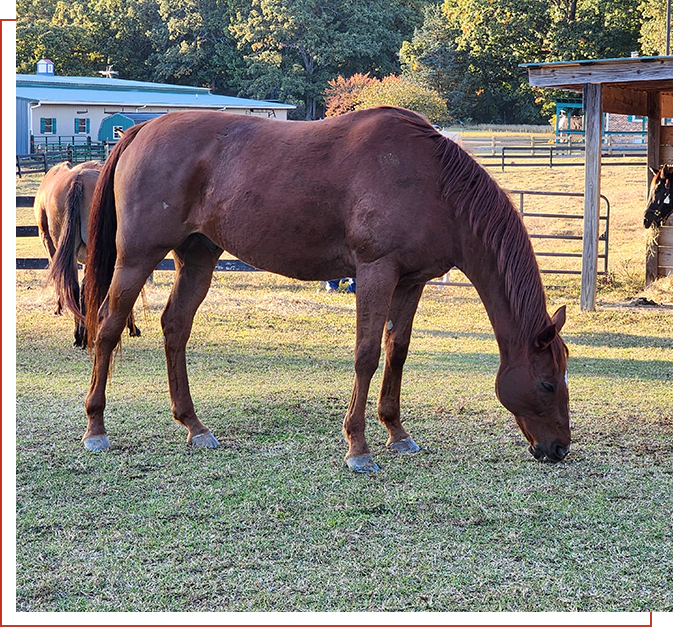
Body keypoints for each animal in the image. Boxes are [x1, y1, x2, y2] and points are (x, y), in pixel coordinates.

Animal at [82, 106, 568, 472]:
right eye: (547, 384)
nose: (560, 449)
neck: (433, 183)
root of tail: (141, 129)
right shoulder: (376, 272)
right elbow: (367, 355)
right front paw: (358, 448)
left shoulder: (411, 282)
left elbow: (397, 351)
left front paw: (397, 432)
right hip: (137, 258)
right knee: (107, 326)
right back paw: (96, 428)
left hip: (198, 256)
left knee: (175, 326)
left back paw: (194, 426)